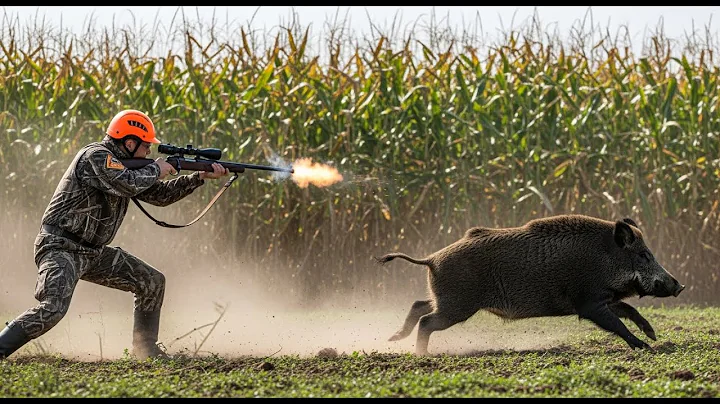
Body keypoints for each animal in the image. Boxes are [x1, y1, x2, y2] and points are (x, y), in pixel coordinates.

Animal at [375, 214, 685, 355]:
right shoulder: (589, 303)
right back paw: (423, 355)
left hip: (447, 298)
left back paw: (395, 339)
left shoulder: (603, 299)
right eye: (643, 255)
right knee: (427, 320)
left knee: (419, 304)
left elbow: (630, 311)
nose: (679, 286)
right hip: (458, 305)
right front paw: (646, 347)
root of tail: (431, 258)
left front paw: (653, 335)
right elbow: (617, 324)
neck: (605, 258)